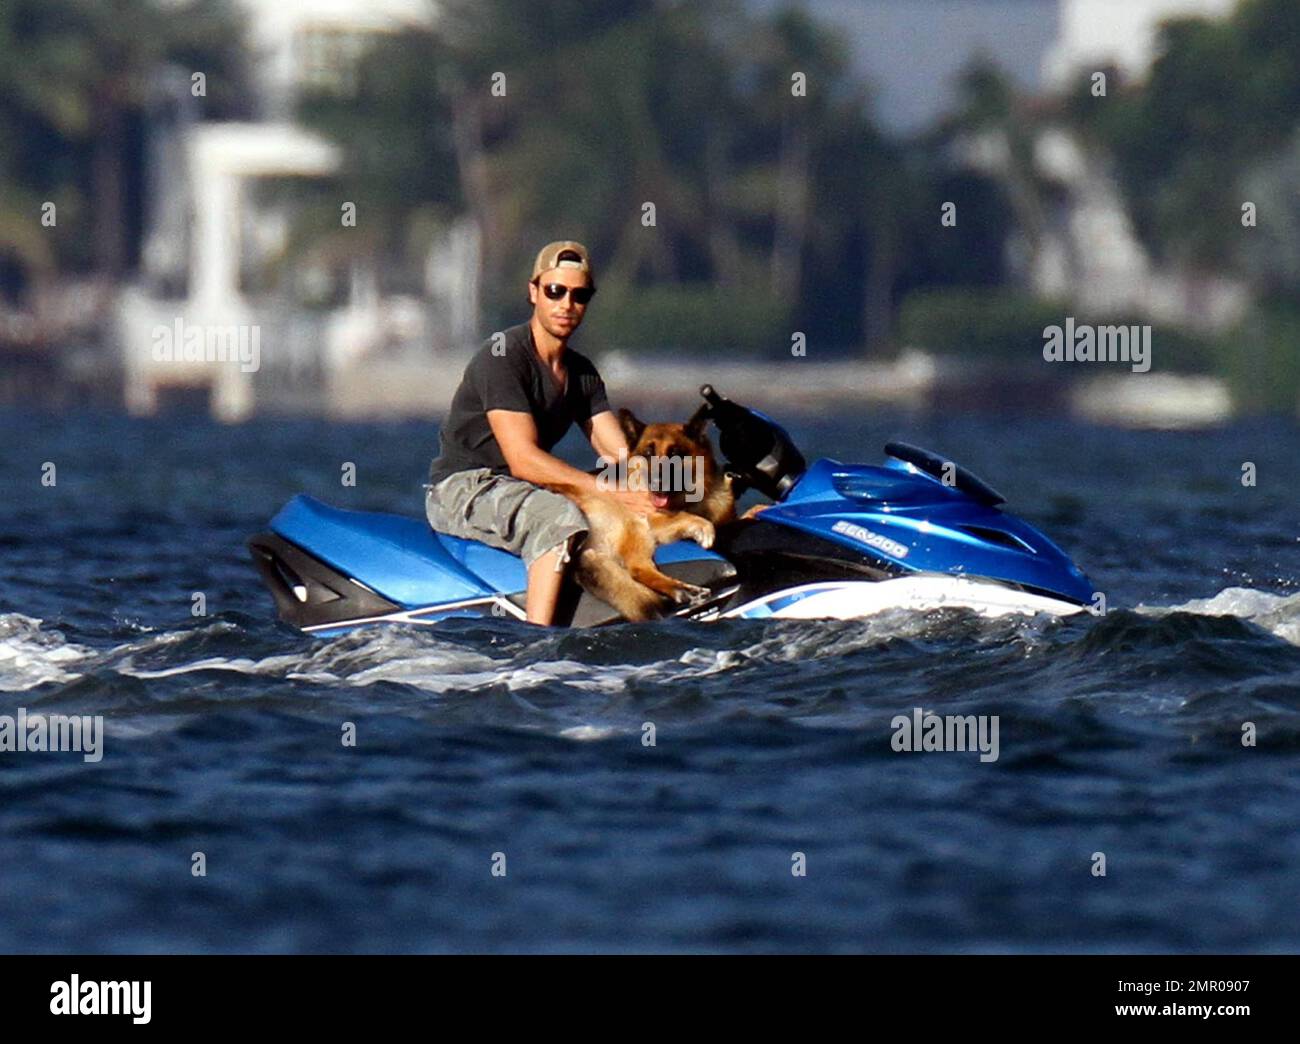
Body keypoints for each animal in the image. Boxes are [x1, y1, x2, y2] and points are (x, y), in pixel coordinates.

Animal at [543, 405, 738, 621]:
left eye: (676, 453)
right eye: (648, 453)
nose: (656, 483)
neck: (689, 499)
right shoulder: (655, 520)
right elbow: (691, 518)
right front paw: (703, 529)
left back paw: (682, 590)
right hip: (633, 526)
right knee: (637, 569)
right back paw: (683, 590)